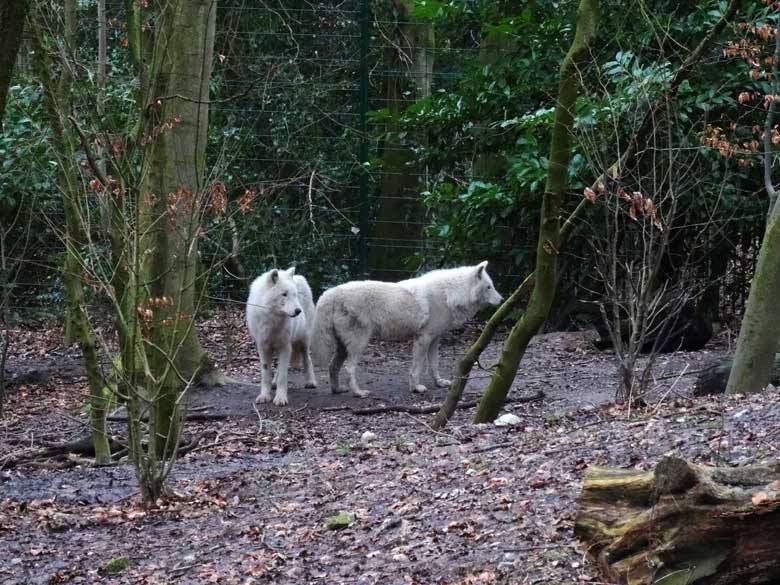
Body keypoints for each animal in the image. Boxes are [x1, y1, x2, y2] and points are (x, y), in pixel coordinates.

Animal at [245, 266, 316, 404]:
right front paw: (264, 396)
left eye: (294, 295)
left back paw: (311, 382)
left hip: (303, 340)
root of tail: (299, 276)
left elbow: (283, 375)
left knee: (307, 359)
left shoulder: (285, 346)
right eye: (284, 294)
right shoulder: (263, 347)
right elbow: (266, 374)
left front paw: (280, 398)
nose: (298, 311)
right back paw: (274, 383)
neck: (273, 320)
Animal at [308, 262, 502, 394]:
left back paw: (338, 390)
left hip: (343, 346)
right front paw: (416, 388)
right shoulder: (423, 338)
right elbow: (417, 367)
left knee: (333, 366)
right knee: (349, 368)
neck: (450, 294)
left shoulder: (435, 339)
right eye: (489, 287)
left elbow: (434, 364)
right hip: (359, 344)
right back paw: (358, 392)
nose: (501, 300)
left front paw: (439, 383)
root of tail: (329, 293)